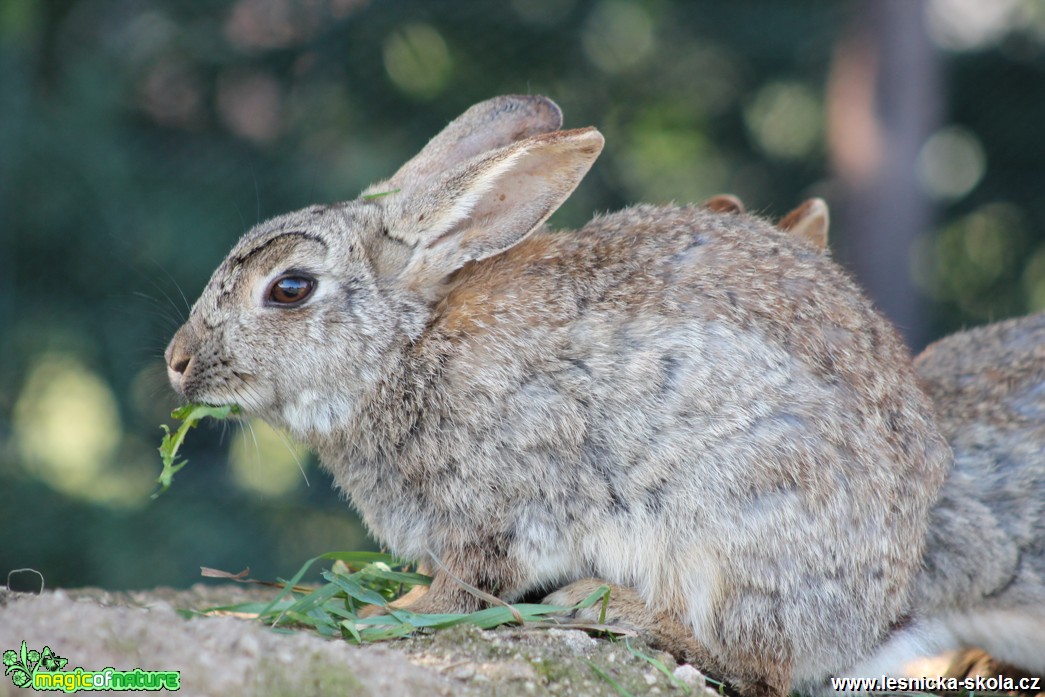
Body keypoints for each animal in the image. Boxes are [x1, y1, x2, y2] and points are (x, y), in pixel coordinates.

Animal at [165, 94, 957, 697]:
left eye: (290, 288)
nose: (176, 362)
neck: (404, 347)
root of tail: (874, 617)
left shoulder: (499, 511)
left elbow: (468, 584)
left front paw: (400, 612)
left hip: (736, 522)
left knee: (754, 662)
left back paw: (600, 606)